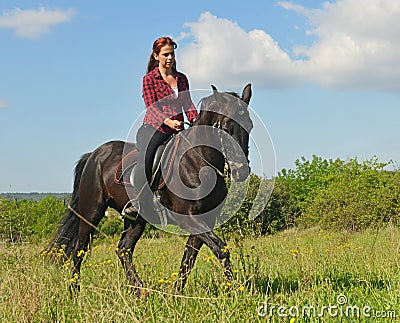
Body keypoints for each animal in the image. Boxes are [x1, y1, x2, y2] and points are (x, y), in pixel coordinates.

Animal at [47, 83, 253, 294]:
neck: (198, 162)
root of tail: (94, 155)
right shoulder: (189, 218)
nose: (241, 170)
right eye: (226, 127)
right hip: (91, 212)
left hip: (136, 220)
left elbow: (189, 258)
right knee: (79, 249)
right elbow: (220, 249)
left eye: (250, 126)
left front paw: (176, 295)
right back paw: (74, 291)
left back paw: (140, 290)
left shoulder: (205, 220)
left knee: (124, 249)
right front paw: (233, 290)